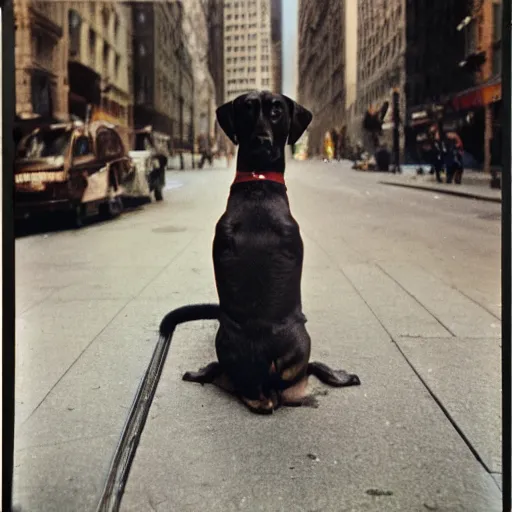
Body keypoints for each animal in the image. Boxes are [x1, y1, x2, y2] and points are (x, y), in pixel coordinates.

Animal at [176, 90, 360, 414]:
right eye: (248, 108)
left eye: (276, 111)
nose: (262, 140)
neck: (257, 180)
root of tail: (262, 380)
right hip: (303, 341)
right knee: (311, 367)